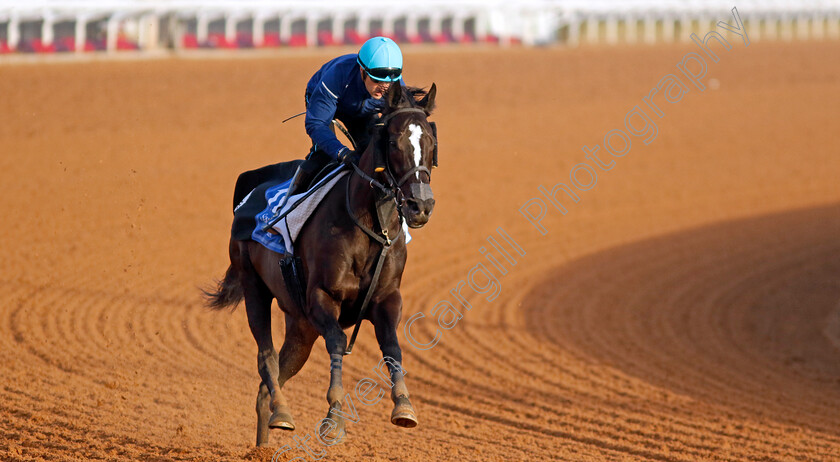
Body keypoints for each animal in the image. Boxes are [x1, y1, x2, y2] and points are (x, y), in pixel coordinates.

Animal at [206, 82, 436, 444]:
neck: (370, 226)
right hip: (254, 287)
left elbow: (392, 347)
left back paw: (262, 445)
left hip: (301, 326)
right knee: (266, 359)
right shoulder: (321, 297)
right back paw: (282, 413)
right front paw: (334, 417)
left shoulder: (387, 298)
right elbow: (338, 343)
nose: (420, 206)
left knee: (266, 385)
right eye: (394, 142)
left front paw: (404, 406)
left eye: (430, 142)